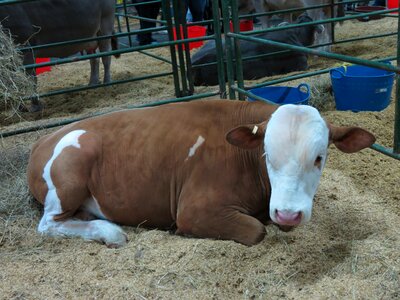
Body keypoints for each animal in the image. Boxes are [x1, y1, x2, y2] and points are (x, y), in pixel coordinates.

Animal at [26, 99, 376, 247]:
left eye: (319, 158)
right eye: (267, 154)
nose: (288, 214)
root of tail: (44, 137)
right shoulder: (194, 210)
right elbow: (256, 231)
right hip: (70, 170)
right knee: (48, 225)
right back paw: (108, 232)